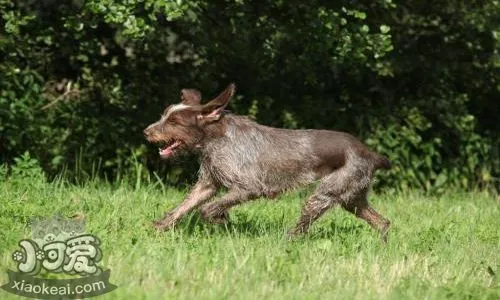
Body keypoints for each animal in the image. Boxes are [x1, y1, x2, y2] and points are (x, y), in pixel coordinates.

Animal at [144, 84, 390, 241]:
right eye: (165, 115)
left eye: (174, 122)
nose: (146, 132)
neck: (215, 138)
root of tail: (370, 153)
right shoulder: (208, 185)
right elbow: (183, 207)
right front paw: (158, 228)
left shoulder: (249, 187)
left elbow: (208, 208)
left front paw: (220, 220)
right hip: (352, 197)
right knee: (383, 222)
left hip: (325, 193)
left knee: (301, 228)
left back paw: (285, 241)